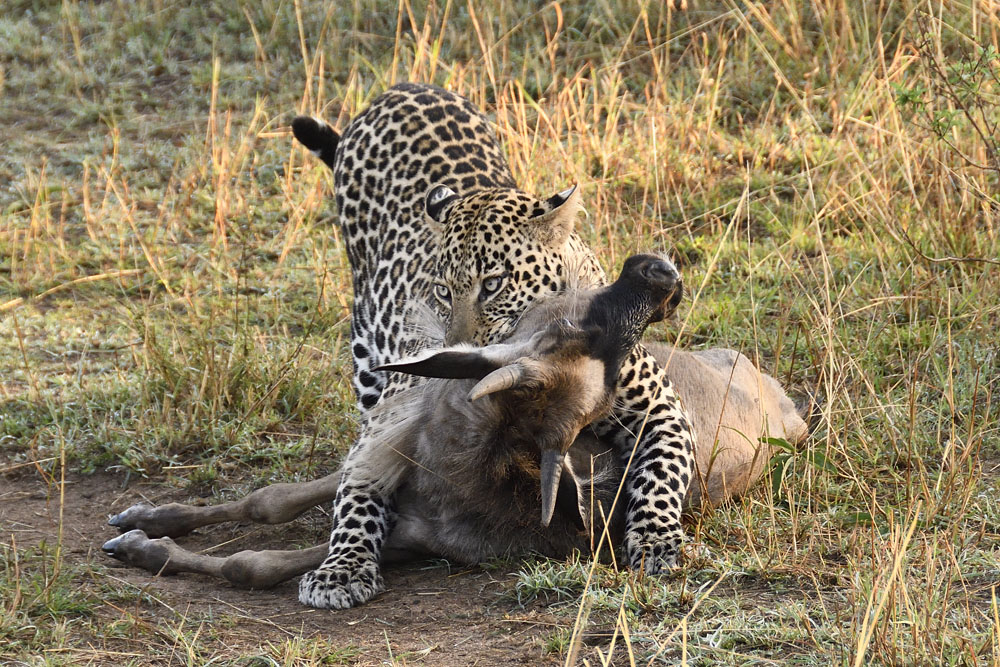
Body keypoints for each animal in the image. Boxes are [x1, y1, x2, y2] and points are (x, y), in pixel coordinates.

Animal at [291, 83, 695, 609]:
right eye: (442, 291)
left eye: (494, 283)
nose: (455, 350)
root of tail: (400, 90)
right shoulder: (389, 421)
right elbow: (358, 491)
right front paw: (340, 569)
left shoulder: (660, 410)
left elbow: (662, 476)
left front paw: (656, 541)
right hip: (364, 350)